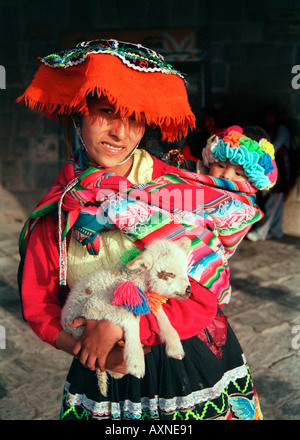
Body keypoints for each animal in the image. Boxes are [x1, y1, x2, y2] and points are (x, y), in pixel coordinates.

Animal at [61, 237, 191, 396]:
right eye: (169, 273)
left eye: (185, 269)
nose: (189, 290)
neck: (130, 281)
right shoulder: (94, 306)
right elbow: (131, 317)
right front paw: (136, 362)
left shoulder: (147, 301)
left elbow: (160, 313)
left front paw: (174, 346)